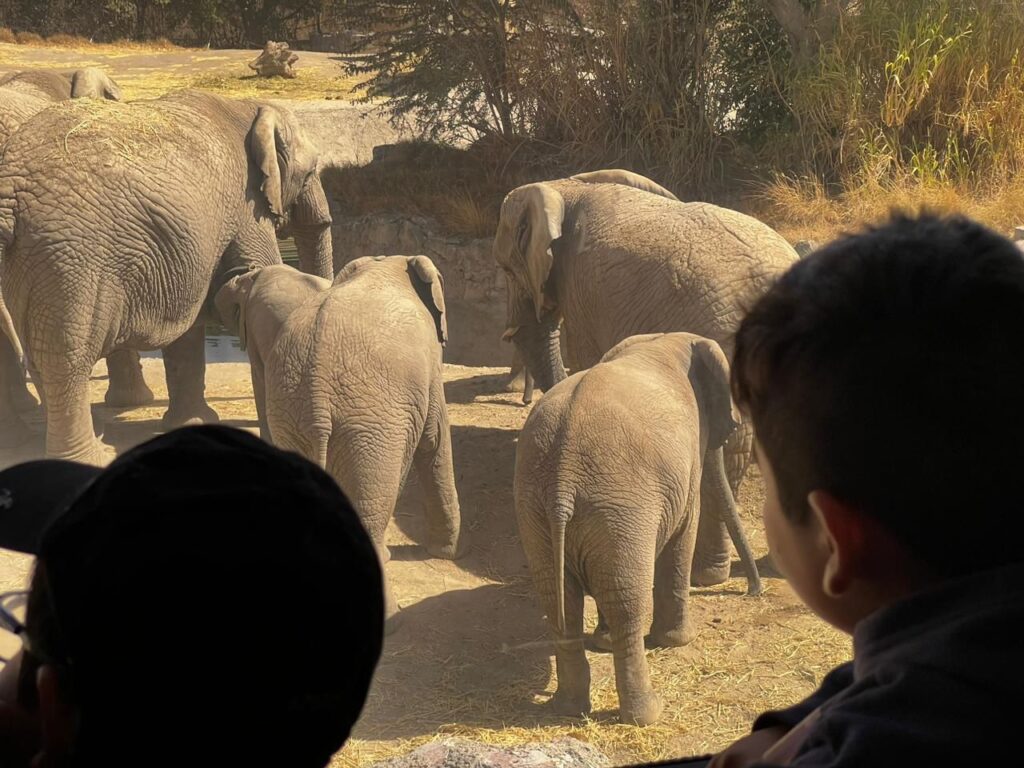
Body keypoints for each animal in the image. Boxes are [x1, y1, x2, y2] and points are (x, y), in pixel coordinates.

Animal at [0, 90, 331, 462]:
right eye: (311, 172)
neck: (246, 106)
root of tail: (9, 190)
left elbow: (187, 326)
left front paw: (191, 424)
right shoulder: (246, 209)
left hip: (33, 261)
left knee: (39, 354)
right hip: (69, 259)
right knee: (66, 360)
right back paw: (94, 455)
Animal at [220, 259, 468, 630]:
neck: (386, 263)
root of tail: (316, 397)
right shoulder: (428, 370)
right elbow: (435, 439)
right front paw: (448, 552)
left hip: (294, 421)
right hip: (366, 428)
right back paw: (389, 618)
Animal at [491, 171, 794, 585]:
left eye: (506, 269)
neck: (566, 185)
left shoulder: (583, 291)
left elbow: (587, 358)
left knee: (727, 455)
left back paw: (706, 575)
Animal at [512, 331, 761, 729]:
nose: (752, 592)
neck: (665, 338)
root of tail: (562, 478)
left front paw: (603, 642)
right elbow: (684, 533)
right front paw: (678, 641)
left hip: (541, 507)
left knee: (560, 599)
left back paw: (569, 708)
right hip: (621, 507)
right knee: (627, 603)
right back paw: (647, 714)